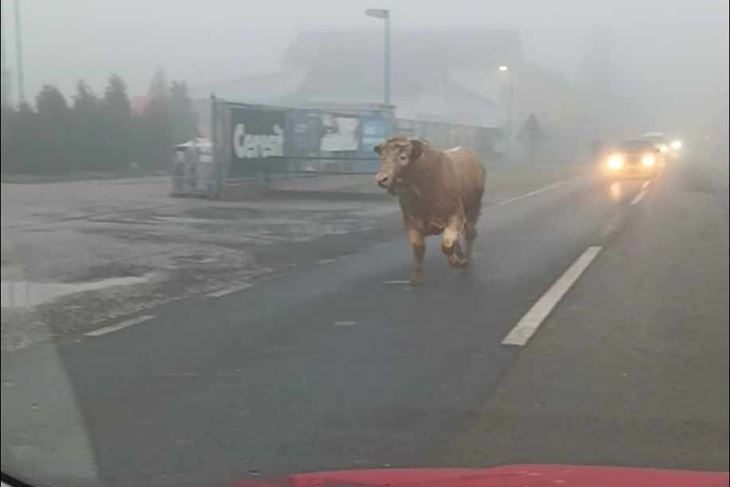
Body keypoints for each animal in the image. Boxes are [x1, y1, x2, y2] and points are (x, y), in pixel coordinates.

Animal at [376, 133, 484, 286]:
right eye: (382, 157)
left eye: (403, 157)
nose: (381, 179)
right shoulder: (410, 221)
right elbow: (418, 248)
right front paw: (416, 277)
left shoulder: (456, 215)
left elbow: (446, 245)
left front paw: (458, 263)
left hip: (473, 210)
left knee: (470, 234)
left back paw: (466, 265)